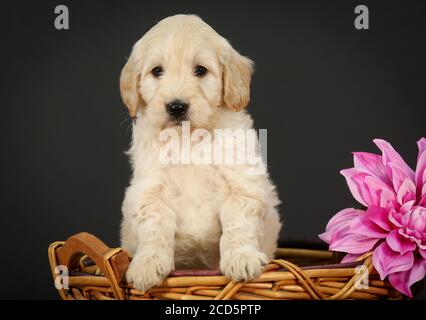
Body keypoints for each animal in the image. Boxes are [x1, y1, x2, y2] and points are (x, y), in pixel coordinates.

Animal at [120, 14, 282, 292]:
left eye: (201, 70)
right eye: (157, 71)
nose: (176, 106)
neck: (189, 141)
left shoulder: (242, 186)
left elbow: (238, 225)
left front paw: (242, 258)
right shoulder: (149, 191)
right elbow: (154, 228)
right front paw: (146, 265)